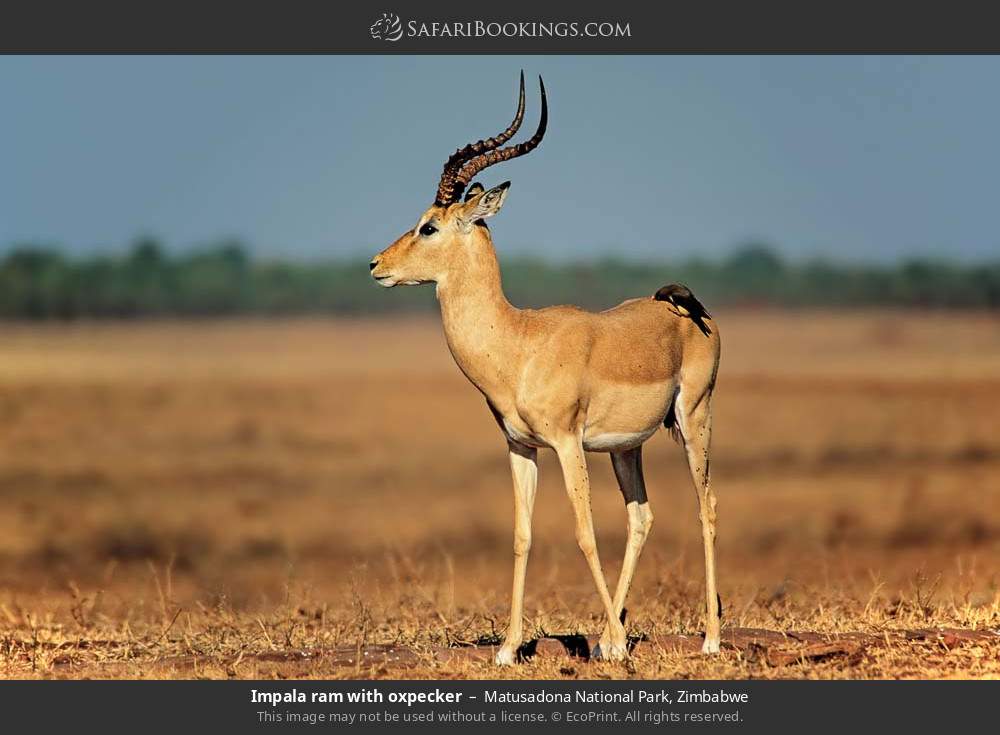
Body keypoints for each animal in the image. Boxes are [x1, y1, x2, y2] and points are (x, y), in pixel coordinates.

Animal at [370, 74, 722, 664]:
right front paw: (510, 648)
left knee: (707, 506)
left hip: (693, 420)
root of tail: (684, 306)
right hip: (627, 448)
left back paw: (709, 639)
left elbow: (582, 531)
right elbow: (522, 535)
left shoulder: (566, 442)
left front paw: (617, 644)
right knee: (641, 517)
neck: (519, 344)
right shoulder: (521, 446)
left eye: (429, 227)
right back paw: (605, 639)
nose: (376, 265)